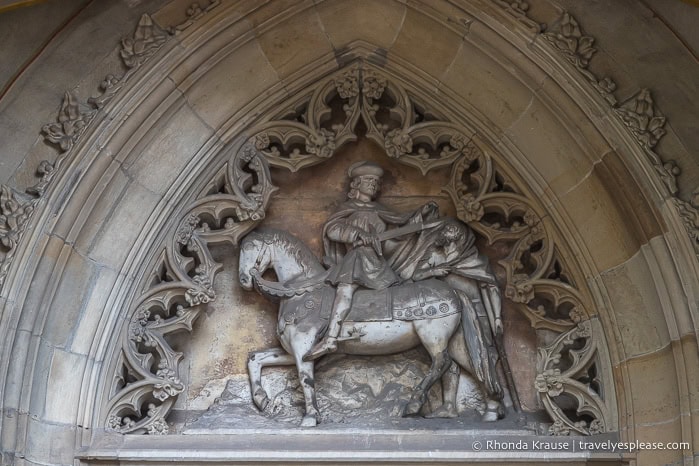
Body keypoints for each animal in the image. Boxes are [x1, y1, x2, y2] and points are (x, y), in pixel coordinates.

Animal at [239, 228, 504, 428]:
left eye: (251, 247)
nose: (243, 280)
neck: (301, 290)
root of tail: (455, 292)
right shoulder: (294, 351)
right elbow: (255, 358)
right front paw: (261, 400)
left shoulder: (303, 348)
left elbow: (306, 380)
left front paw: (311, 417)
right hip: (457, 340)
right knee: (471, 366)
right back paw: (483, 409)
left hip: (433, 335)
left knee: (442, 362)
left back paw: (414, 403)